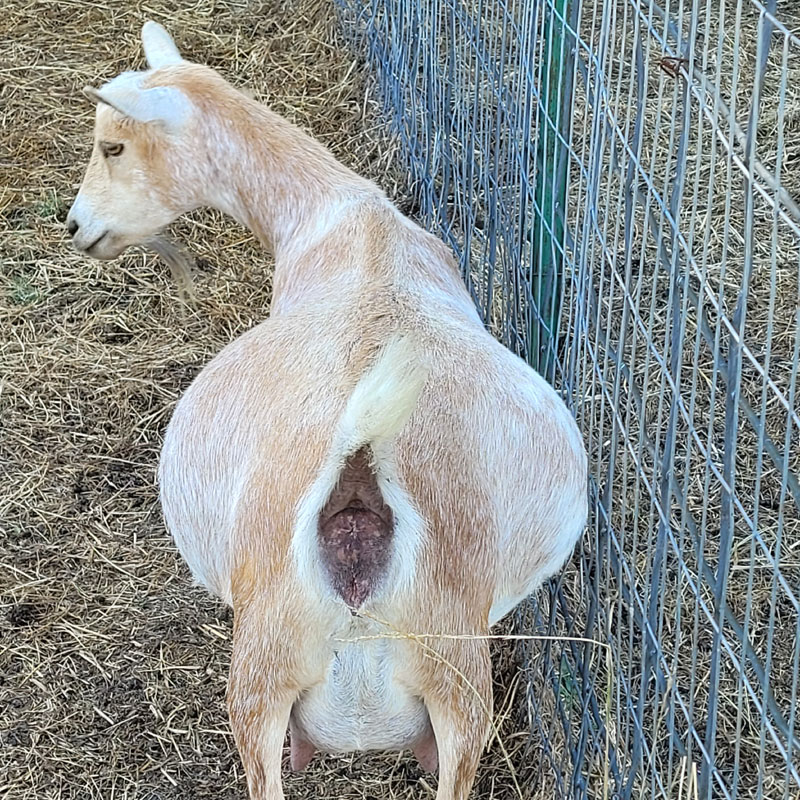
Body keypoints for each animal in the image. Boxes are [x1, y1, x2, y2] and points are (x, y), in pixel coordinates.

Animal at [66, 22, 588, 800]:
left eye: (113, 146)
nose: (75, 226)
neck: (338, 214)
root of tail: (359, 465)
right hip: (459, 685)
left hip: (259, 675)